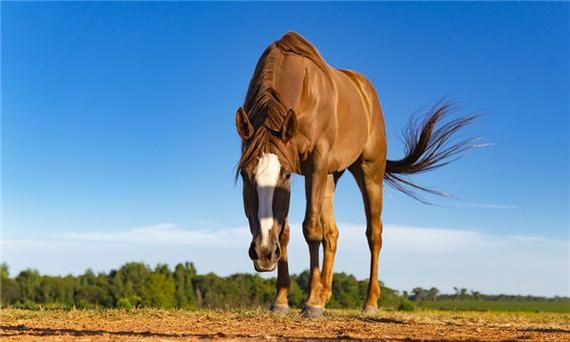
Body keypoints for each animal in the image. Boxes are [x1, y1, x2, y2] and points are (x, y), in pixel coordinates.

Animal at [234, 32, 474, 318]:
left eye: (285, 175)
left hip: (368, 172)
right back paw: (324, 294)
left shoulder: (314, 163)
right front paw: (281, 301)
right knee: (332, 233)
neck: (303, 90)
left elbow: (311, 229)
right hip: (331, 176)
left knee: (374, 234)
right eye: (245, 175)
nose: (263, 252)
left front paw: (311, 302)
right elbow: (286, 231)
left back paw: (368, 302)